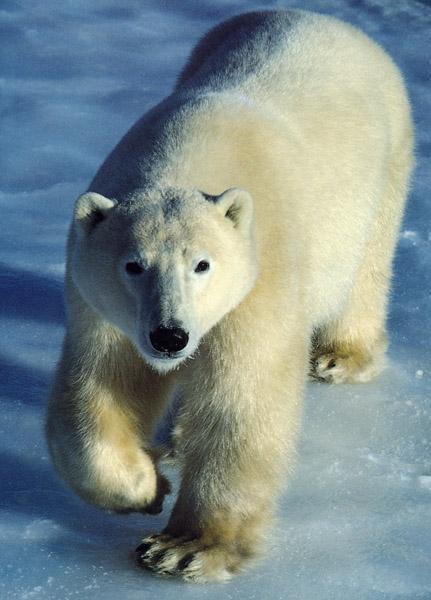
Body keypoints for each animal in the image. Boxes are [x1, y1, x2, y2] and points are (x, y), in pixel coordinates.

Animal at [46, 8, 416, 580]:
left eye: (203, 264)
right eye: (133, 265)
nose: (170, 337)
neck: (184, 163)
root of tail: (325, 19)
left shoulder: (261, 272)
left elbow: (240, 398)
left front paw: (184, 547)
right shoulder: (101, 304)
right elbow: (100, 383)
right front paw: (146, 487)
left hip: (385, 163)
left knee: (365, 271)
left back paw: (339, 356)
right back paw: (178, 438)